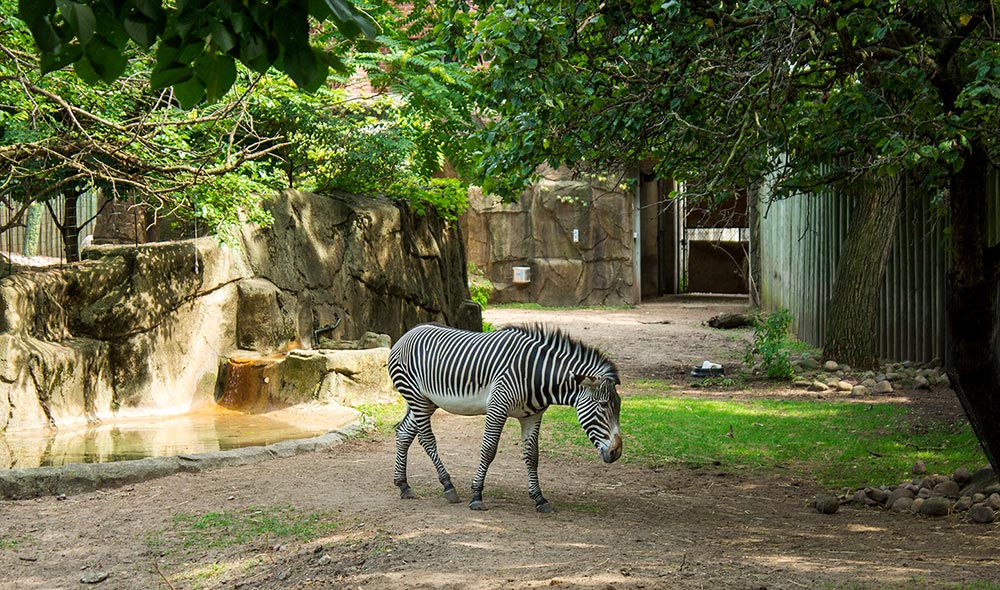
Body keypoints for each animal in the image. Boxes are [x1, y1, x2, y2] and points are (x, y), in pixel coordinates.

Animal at [388, 322, 623, 513]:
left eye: (619, 407)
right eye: (603, 405)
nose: (616, 452)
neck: (537, 374)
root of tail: (409, 332)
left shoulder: (532, 416)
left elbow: (532, 456)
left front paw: (539, 498)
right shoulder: (497, 408)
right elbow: (488, 450)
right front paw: (476, 495)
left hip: (428, 401)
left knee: (404, 432)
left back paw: (403, 485)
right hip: (416, 396)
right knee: (427, 439)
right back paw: (448, 485)